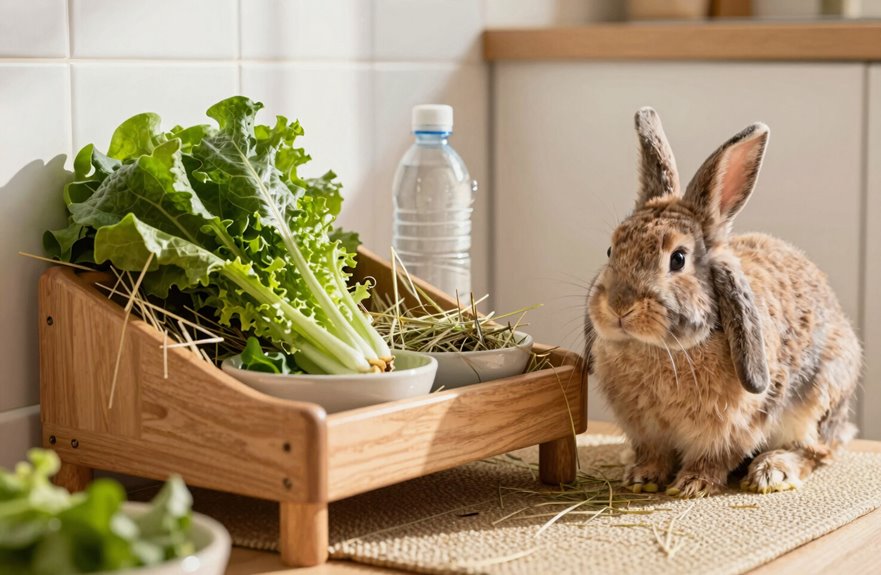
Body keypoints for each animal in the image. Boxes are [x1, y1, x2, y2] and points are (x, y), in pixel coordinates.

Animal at [583, 107, 862, 498]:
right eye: (611, 250)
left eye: (678, 259)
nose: (620, 305)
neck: (662, 349)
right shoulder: (647, 430)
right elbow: (653, 453)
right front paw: (643, 478)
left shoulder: (734, 423)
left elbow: (715, 456)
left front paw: (693, 485)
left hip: (818, 398)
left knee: (816, 451)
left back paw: (771, 472)